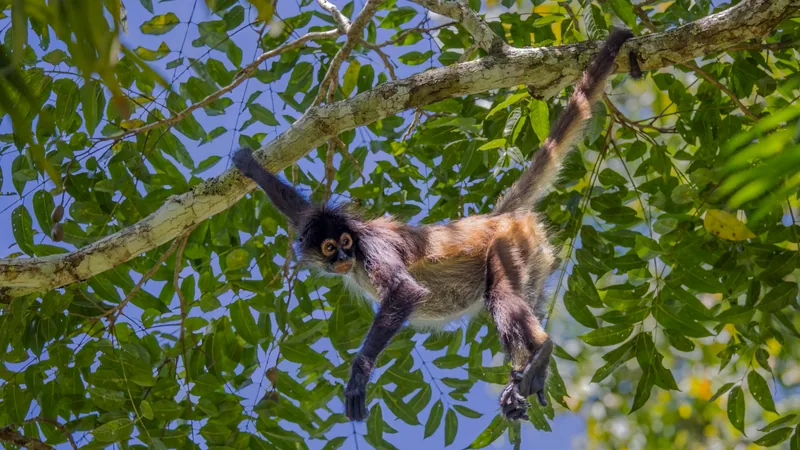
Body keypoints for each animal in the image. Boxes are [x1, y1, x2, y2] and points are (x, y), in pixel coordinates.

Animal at [232, 28, 635, 422]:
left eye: (345, 242)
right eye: (330, 247)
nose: (343, 256)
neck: (358, 249)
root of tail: (494, 217)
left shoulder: (372, 244)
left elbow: (404, 291)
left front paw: (359, 375)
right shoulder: (318, 221)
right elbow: (298, 208)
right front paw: (250, 167)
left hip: (510, 241)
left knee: (500, 295)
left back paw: (543, 350)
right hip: (534, 257)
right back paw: (524, 379)